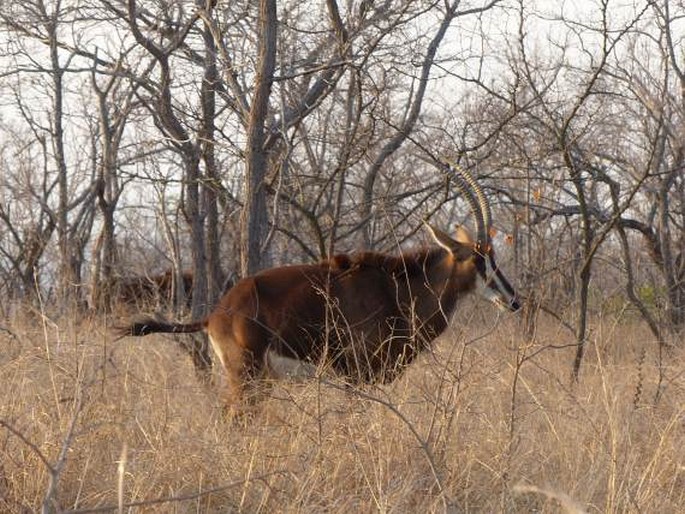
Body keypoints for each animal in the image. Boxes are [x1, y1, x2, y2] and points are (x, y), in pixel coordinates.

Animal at [121, 162, 520, 406]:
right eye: (478, 259)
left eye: (493, 255)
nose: (514, 300)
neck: (399, 292)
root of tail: (216, 314)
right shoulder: (358, 378)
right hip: (245, 377)